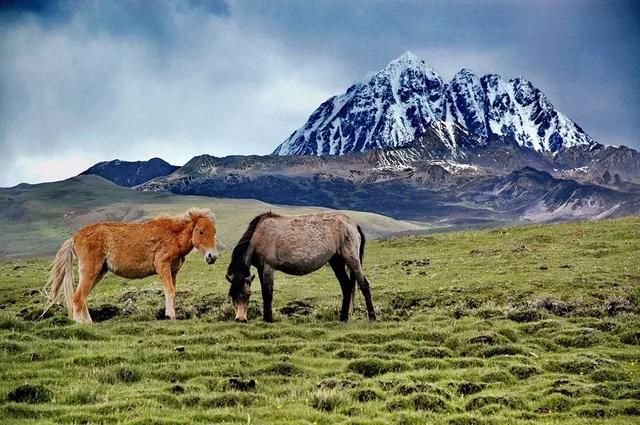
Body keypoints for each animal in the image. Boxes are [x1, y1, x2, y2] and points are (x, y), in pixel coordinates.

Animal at [43, 207, 218, 322]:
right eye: (201, 231)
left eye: (215, 232)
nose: (213, 256)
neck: (173, 236)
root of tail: (75, 237)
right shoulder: (163, 267)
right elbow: (169, 291)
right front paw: (171, 316)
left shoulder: (173, 271)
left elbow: (173, 291)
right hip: (90, 270)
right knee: (78, 297)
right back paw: (84, 324)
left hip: (99, 272)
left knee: (82, 297)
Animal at [225, 210, 376, 322]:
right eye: (232, 295)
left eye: (247, 294)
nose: (240, 319)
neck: (258, 236)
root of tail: (353, 224)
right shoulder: (261, 268)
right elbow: (264, 292)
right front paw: (266, 318)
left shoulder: (268, 267)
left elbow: (268, 293)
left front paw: (269, 319)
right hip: (336, 261)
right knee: (346, 286)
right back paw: (343, 318)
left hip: (352, 259)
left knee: (364, 285)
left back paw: (372, 317)